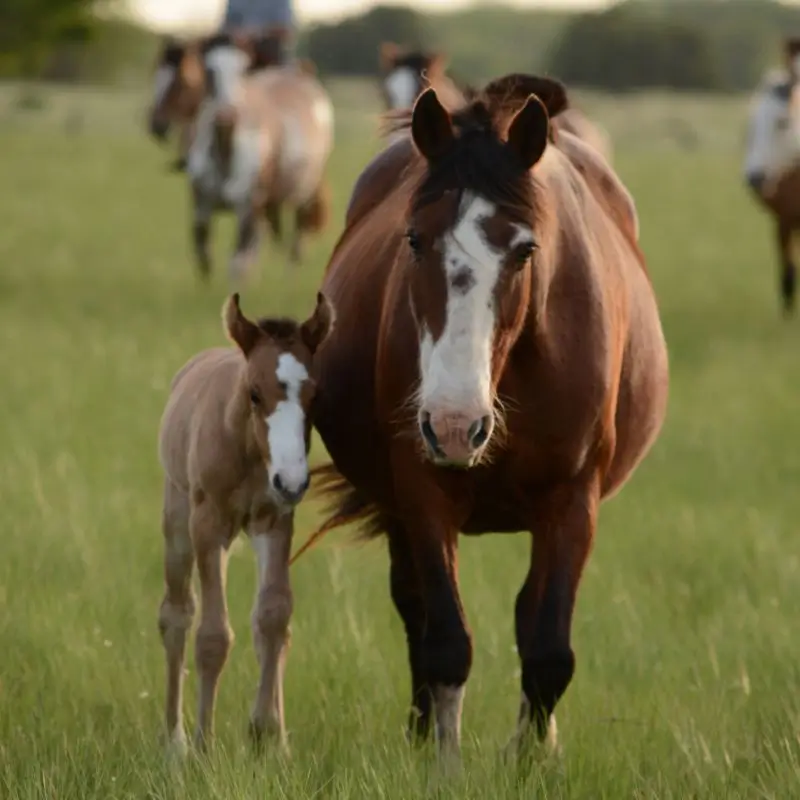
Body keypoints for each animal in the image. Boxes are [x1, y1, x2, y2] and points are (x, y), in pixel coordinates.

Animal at [158, 290, 332, 752]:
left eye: (315, 395)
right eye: (255, 393)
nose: (292, 480)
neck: (249, 451)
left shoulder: (275, 521)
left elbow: (273, 617)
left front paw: (268, 735)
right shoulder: (208, 526)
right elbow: (212, 634)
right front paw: (204, 744)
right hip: (178, 523)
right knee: (176, 615)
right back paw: (174, 740)